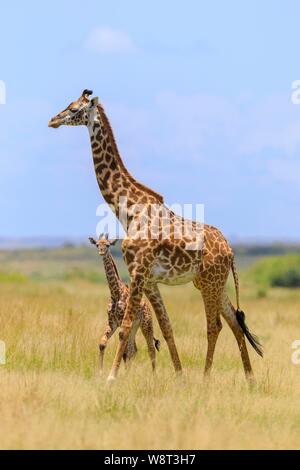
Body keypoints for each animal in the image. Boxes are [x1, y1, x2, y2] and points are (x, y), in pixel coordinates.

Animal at [88, 235, 159, 374]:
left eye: (108, 245)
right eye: (97, 244)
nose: (101, 252)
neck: (115, 293)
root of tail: (148, 307)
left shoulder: (122, 321)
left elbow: (125, 351)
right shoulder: (112, 322)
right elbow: (102, 344)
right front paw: (100, 373)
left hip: (146, 324)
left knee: (150, 349)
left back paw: (153, 375)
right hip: (134, 326)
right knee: (134, 349)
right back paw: (128, 373)